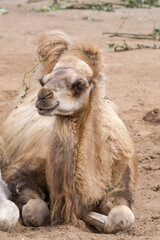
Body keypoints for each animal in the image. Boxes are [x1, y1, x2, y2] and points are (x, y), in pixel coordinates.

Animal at [0, 30, 138, 232]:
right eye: (43, 81)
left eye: (80, 84)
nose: (44, 96)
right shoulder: (19, 171)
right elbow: (35, 211)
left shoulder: (123, 181)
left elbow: (122, 217)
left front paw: (90, 216)